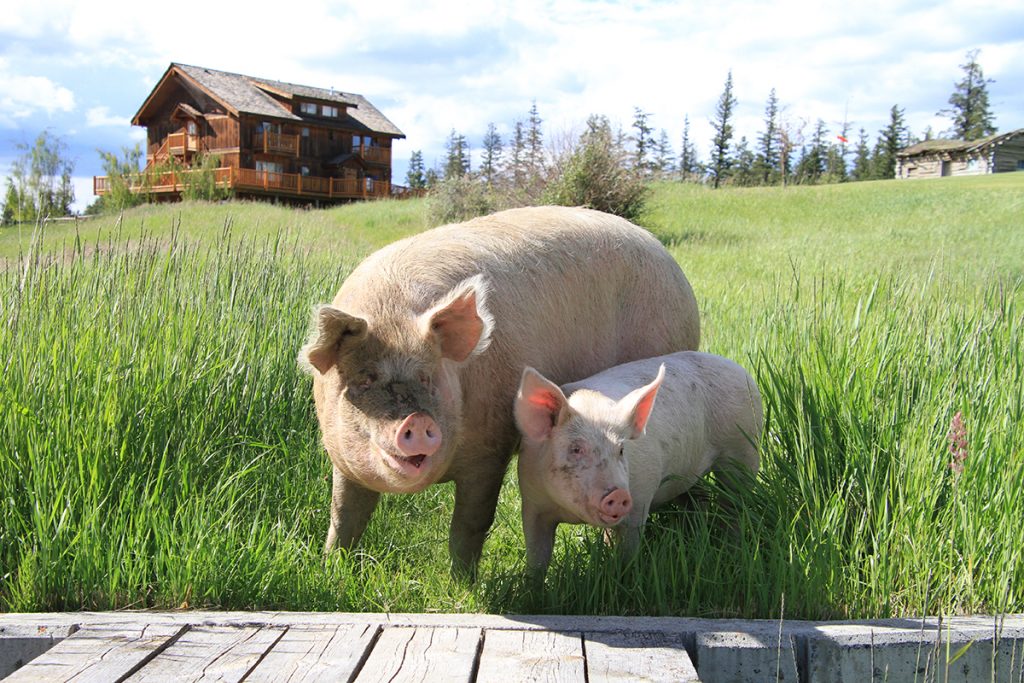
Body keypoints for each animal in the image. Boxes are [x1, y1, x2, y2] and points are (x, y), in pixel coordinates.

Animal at [292, 205, 700, 573]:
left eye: (428, 377)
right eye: (364, 379)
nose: (416, 421)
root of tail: (672, 263)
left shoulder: (491, 448)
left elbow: (470, 524)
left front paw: (462, 583)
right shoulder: (340, 457)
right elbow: (345, 514)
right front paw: (331, 570)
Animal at [512, 352, 761, 577]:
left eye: (621, 450)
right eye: (576, 449)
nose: (619, 494)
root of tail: (740, 369)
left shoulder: (640, 499)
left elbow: (628, 551)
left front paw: (623, 577)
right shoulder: (532, 502)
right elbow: (537, 556)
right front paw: (533, 589)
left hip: (744, 446)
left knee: (735, 502)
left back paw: (731, 547)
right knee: (700, 498)